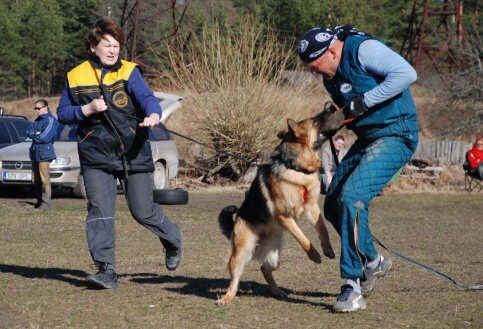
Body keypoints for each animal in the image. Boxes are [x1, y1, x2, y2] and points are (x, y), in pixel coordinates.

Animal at [217, 111, 338, 304]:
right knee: (234, 279)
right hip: (241, 253)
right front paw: (315, 256)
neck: (296, 168)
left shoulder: (312, 208)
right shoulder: (285, 217)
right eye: (314, 120)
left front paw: (328, 249)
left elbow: (323, 228)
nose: (329, 109)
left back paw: (277, 291)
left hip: (274, 257)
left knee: (265, 269)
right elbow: (304, 239)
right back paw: (227, 298)